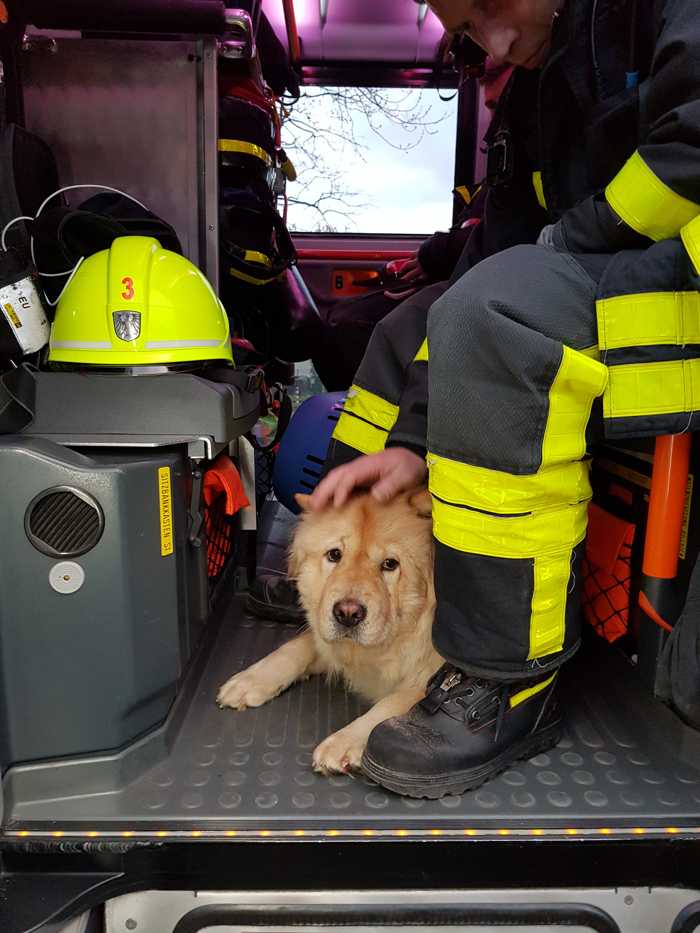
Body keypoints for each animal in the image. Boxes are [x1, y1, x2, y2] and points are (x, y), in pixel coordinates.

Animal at [216, 488, 440, 772]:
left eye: (390, 564)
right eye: (334, 555)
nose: (348, 614)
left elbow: (394, 702)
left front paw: (344, 741)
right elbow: (295, 648)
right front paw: (249, 680)